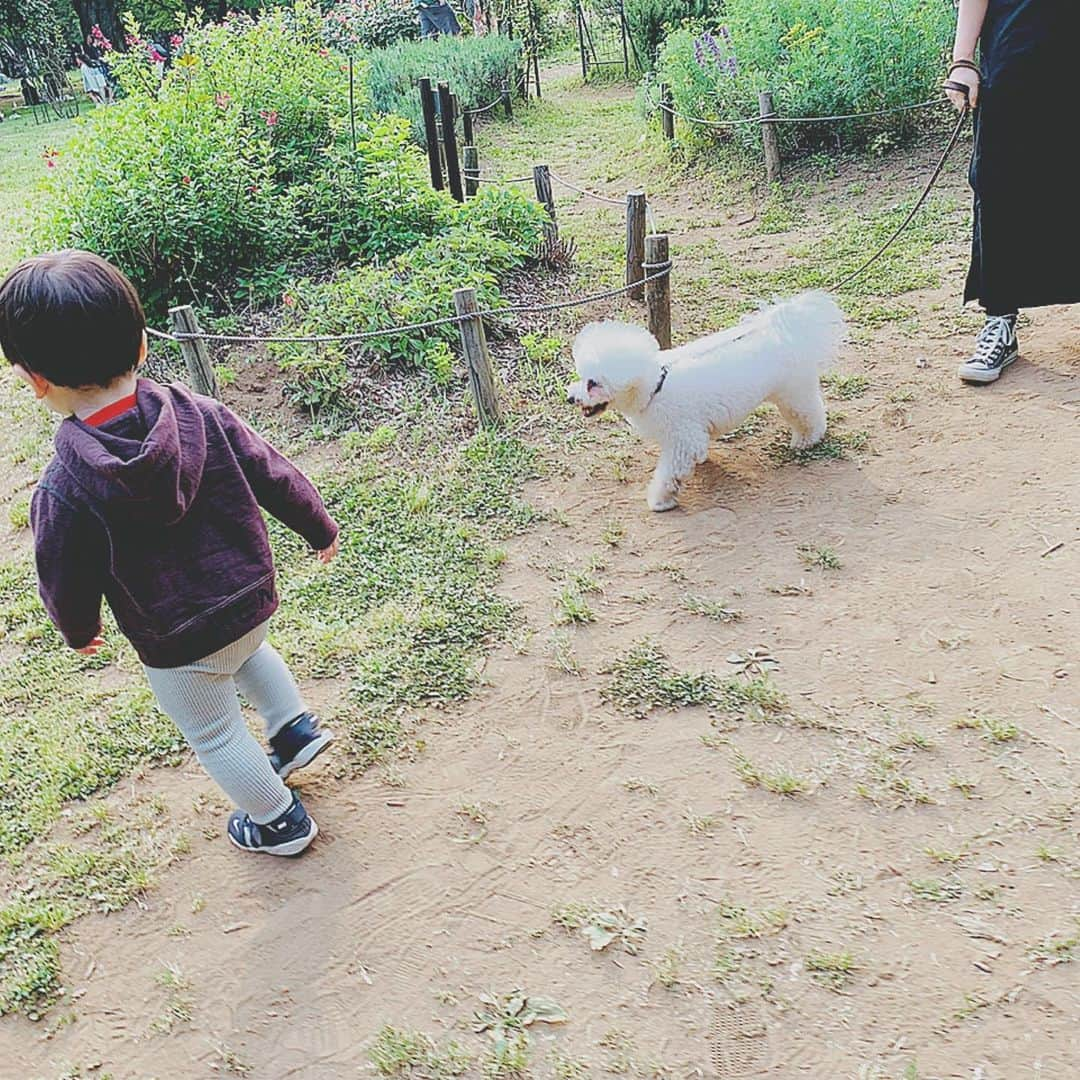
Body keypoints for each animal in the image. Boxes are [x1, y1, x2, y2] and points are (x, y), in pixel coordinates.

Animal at [565, 293, 842, 511]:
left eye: (593, 383)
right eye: (582, 377)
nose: (570, 398)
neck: (655, 385)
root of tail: (785, 330)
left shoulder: (682, 440)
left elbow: (669, 474)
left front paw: (661, 500)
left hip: (793, 394)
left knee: (809, 415)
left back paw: (807, 440)